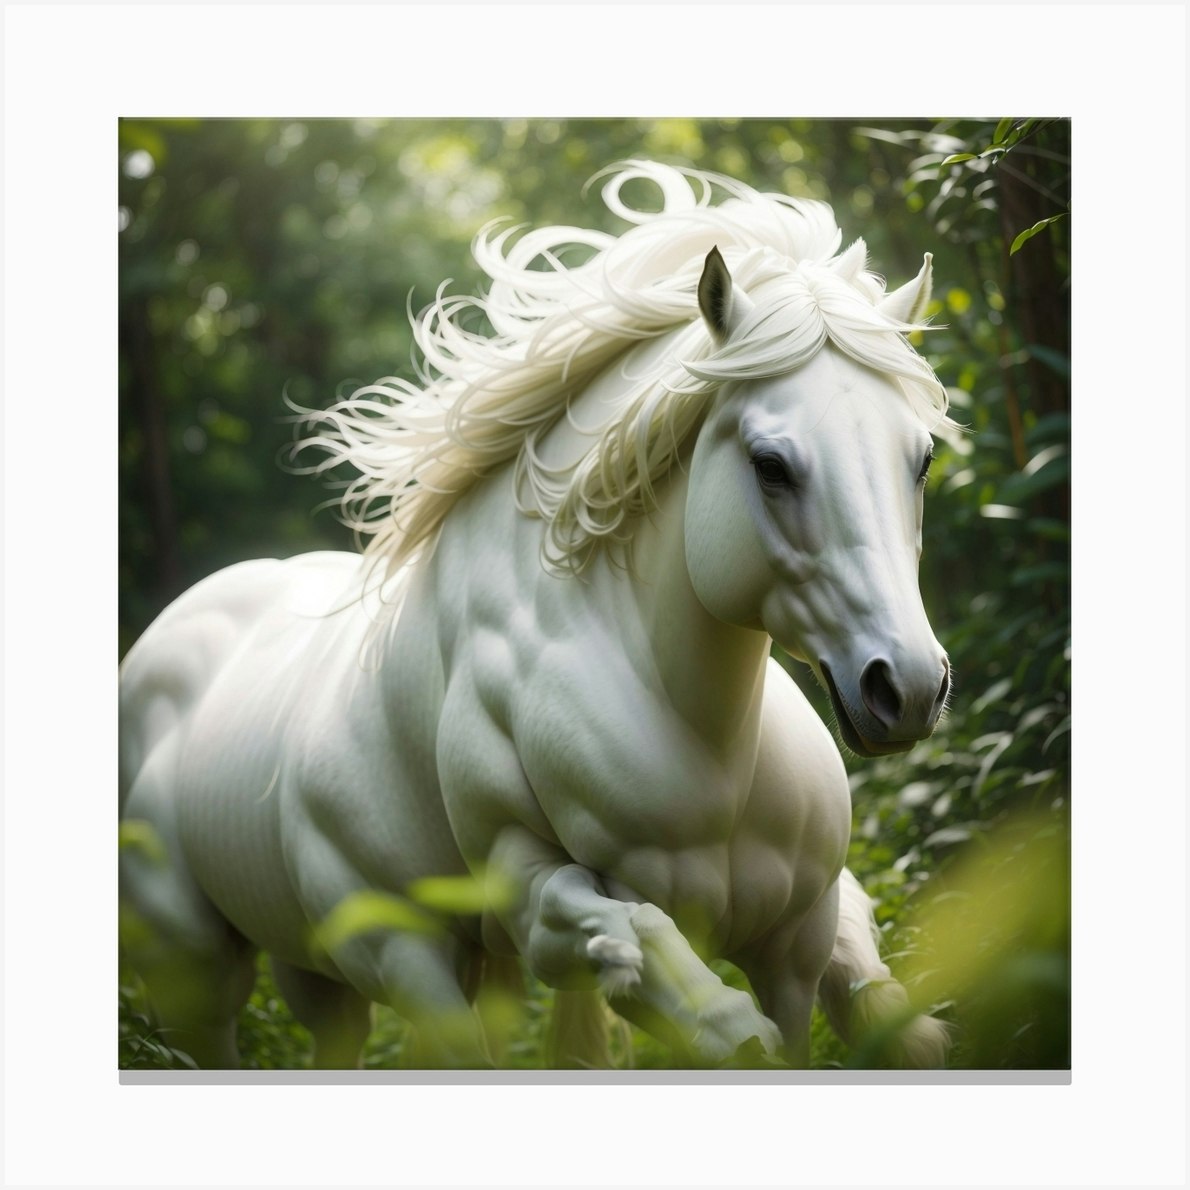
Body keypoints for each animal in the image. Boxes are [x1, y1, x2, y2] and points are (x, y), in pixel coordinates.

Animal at [119, 161, 953, 1070]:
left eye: (922, 458)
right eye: (771, 465)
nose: (907, 688)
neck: (710, 749)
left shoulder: (798, 939)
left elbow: (846, 992)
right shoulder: (534, 904)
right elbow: (676, 982)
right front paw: (725, 1024)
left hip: (332, 979)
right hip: (290, 966)